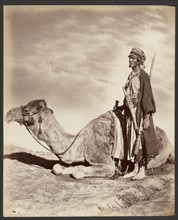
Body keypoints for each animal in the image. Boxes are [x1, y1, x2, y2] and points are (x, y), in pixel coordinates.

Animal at [5, 99, 174, 180]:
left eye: (27, 110)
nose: (8, 113)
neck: (79, 142)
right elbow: (59, 167)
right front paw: (64, 168)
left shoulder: (106, 162)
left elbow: (79, 172)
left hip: (159, 156)